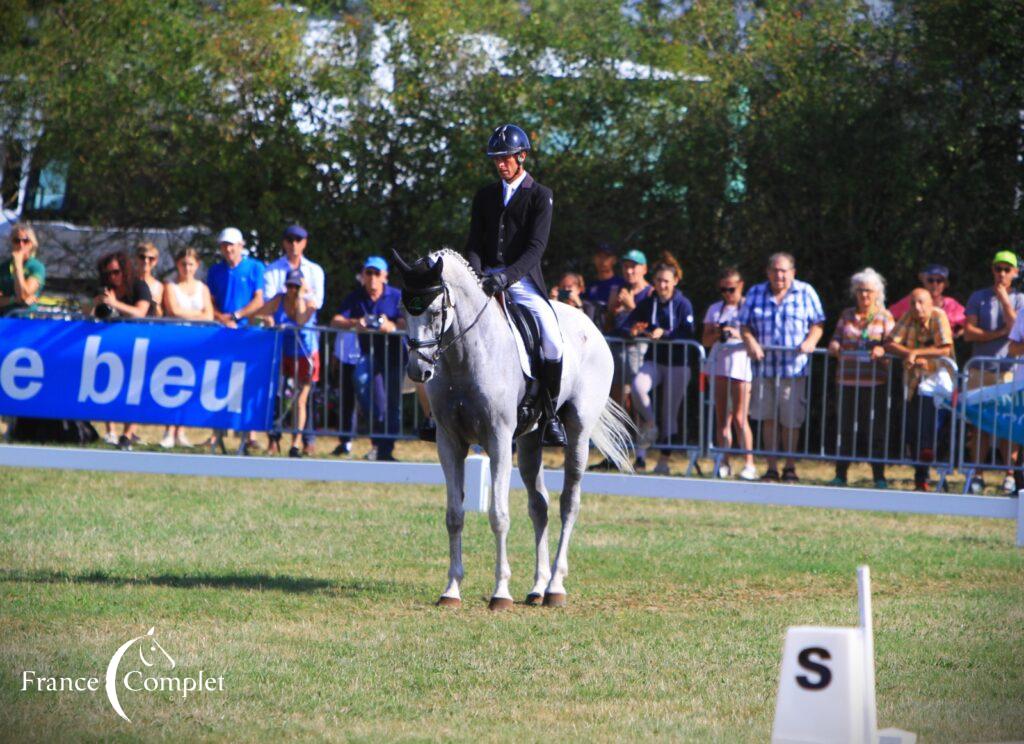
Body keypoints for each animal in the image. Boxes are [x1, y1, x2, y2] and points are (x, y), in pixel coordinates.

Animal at [393, 250, 626, 609]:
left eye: (435, 311)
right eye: (405, 310)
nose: (418, 371)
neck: (466, 356)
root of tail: (589, 324)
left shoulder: (499, 440)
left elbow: (498, 515)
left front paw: (500, 592)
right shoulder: (449, 443)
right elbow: (454, 515)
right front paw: (451, 590)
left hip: (578, 433)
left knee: (569, 503)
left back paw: (555, 587)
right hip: (530, 441)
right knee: (540, 506)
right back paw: (537, 588)